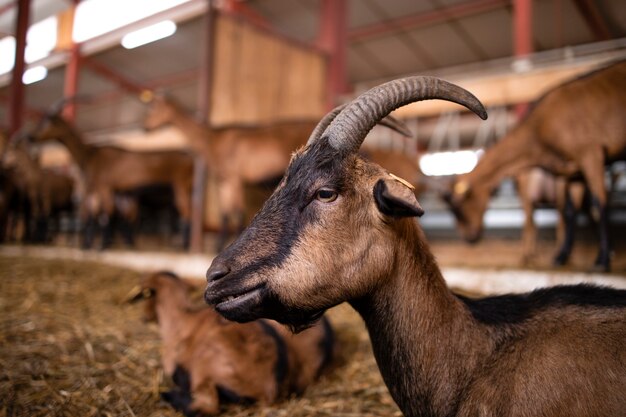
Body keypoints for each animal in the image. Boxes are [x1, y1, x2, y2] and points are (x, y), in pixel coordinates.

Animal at [28, 109, 194, 249]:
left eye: (47, 122)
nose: (30, 137)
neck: (90, 155)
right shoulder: (113, 190)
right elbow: (105, 215)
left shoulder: (104, 186)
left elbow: (106, 213)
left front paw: (102, 245)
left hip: (181, 185)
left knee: (187, 211)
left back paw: (184, 245)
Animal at [129, 270, 334, 412]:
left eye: (145, 296)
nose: (144, 318)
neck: (181, 319)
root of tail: (269, 390)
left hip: (206, 367)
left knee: (206, 406)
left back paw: (169, 396)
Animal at [143, 92, 412, 249]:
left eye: (156, 108)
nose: (146, 128)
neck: (213, 139)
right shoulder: (224, 180)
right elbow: (225, 212)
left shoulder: (234, 178)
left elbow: (236, 210)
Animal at [444, 60, 624, 272]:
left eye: (459, 208)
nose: (469, 239)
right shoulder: (571, 169)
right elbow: (568, 212)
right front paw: (560, 257)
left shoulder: (590, 154)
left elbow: (598, 205)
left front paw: (601, 261)